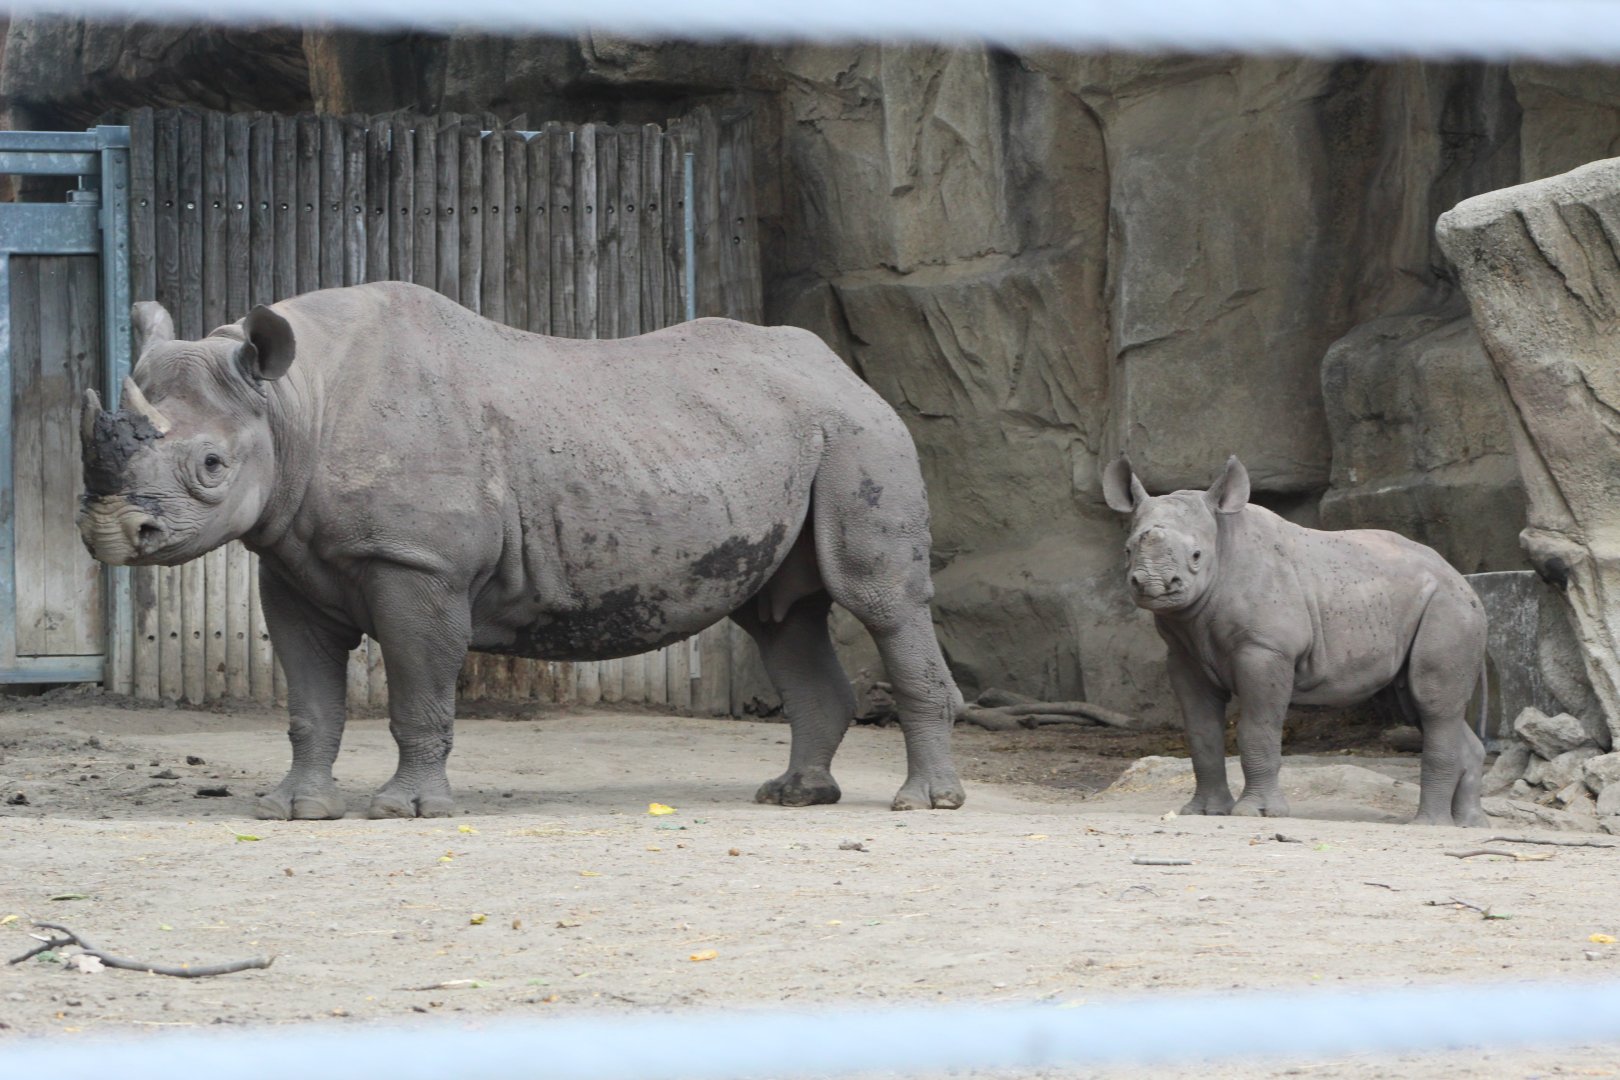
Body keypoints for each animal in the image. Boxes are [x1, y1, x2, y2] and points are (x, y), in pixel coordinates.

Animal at [77, 282, 966, 819]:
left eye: (211, 467)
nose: (113, 531)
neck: (294, 404)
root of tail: (847, 373)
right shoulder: (290, 563)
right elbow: (309, 702)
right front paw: (294, 808)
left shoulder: (417, 564)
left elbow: (419, 692)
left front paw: (407, 811)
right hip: (793, 435)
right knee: (781, 616)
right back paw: (794, 795)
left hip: (861, 435)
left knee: (879, 601)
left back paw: (921, 805)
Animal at [1102, 455, 1488, 827]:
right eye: (1126, 551)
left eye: (1197, 556)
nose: (1153, 584)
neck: (1223, 542)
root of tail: (1460, 577)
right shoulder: (1184, 654)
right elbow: (1201, 734)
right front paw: (1203, 812)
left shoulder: (1265, 649)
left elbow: (1257, 729)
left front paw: (1256, 813)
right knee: (1416, 703)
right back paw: (1470, 824)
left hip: (1449, 606)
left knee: (1431, 702)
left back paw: (1430, 824)